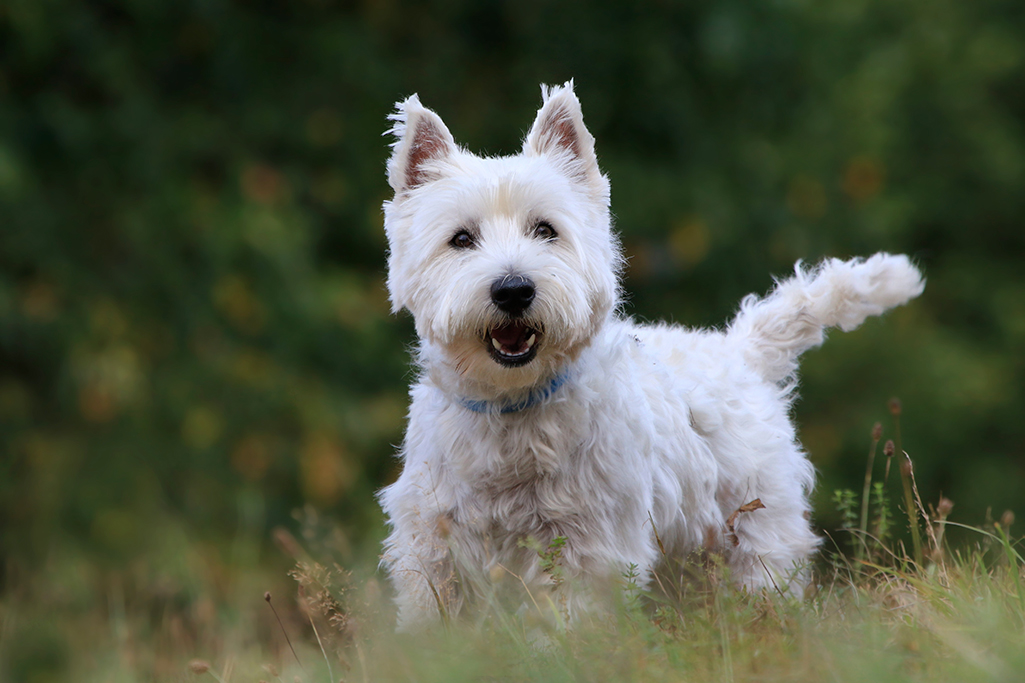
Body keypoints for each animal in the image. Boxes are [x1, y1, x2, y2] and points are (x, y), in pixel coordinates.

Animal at [379, 79, 930, 627]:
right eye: (461, 238)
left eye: (546, 229)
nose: (513, 290)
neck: (511, 409)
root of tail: (739, 350)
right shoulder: (429, 542)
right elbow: (434, 616)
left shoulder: (590, 545)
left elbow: (573, 624)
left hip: (755, 531)